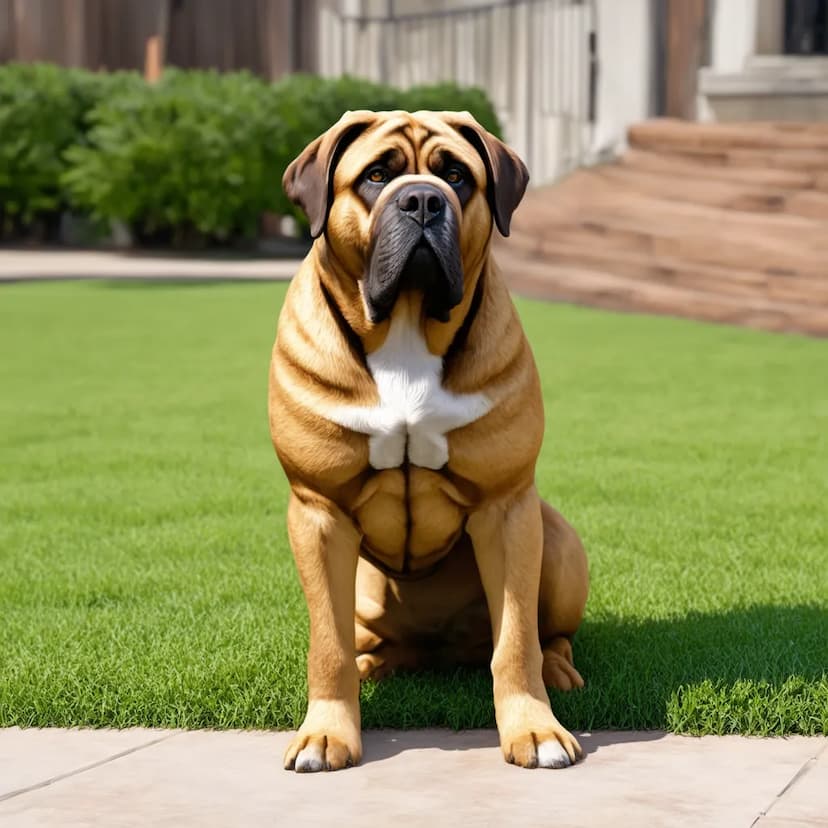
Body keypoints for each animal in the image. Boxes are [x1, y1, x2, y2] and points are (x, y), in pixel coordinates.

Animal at [266, 108, 588, 768]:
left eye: (456, 176)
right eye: (377, 175)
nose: (421, 200)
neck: (408, 324)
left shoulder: (508, 509)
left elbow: (515, 641)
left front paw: (534, 728)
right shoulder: (318, 512)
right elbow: (327, 645)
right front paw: (325, 734)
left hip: (559, 545)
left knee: (547, 634)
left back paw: (559, 670)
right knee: (362, 641)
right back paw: (374, 664)